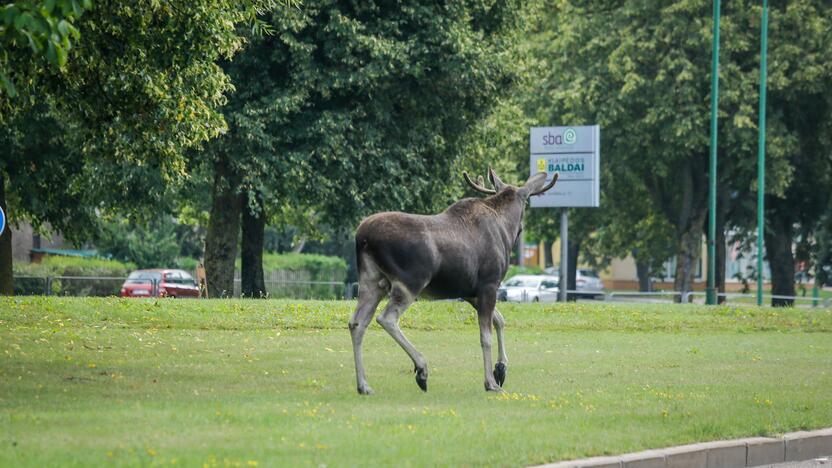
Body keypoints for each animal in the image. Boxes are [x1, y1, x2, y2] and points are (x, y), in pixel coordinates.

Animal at [348, 168, 556, 394]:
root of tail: (362, 237)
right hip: (410, 282)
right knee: (386, 319)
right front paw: (490, 382)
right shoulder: (489, 284)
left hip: (371, 283)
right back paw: (421, 369)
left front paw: (500, 369)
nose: (521, 229)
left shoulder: (470, 293)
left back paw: (363, 385)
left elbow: (499, 320)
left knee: (357, 323)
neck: (505, 230)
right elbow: (486, 336)